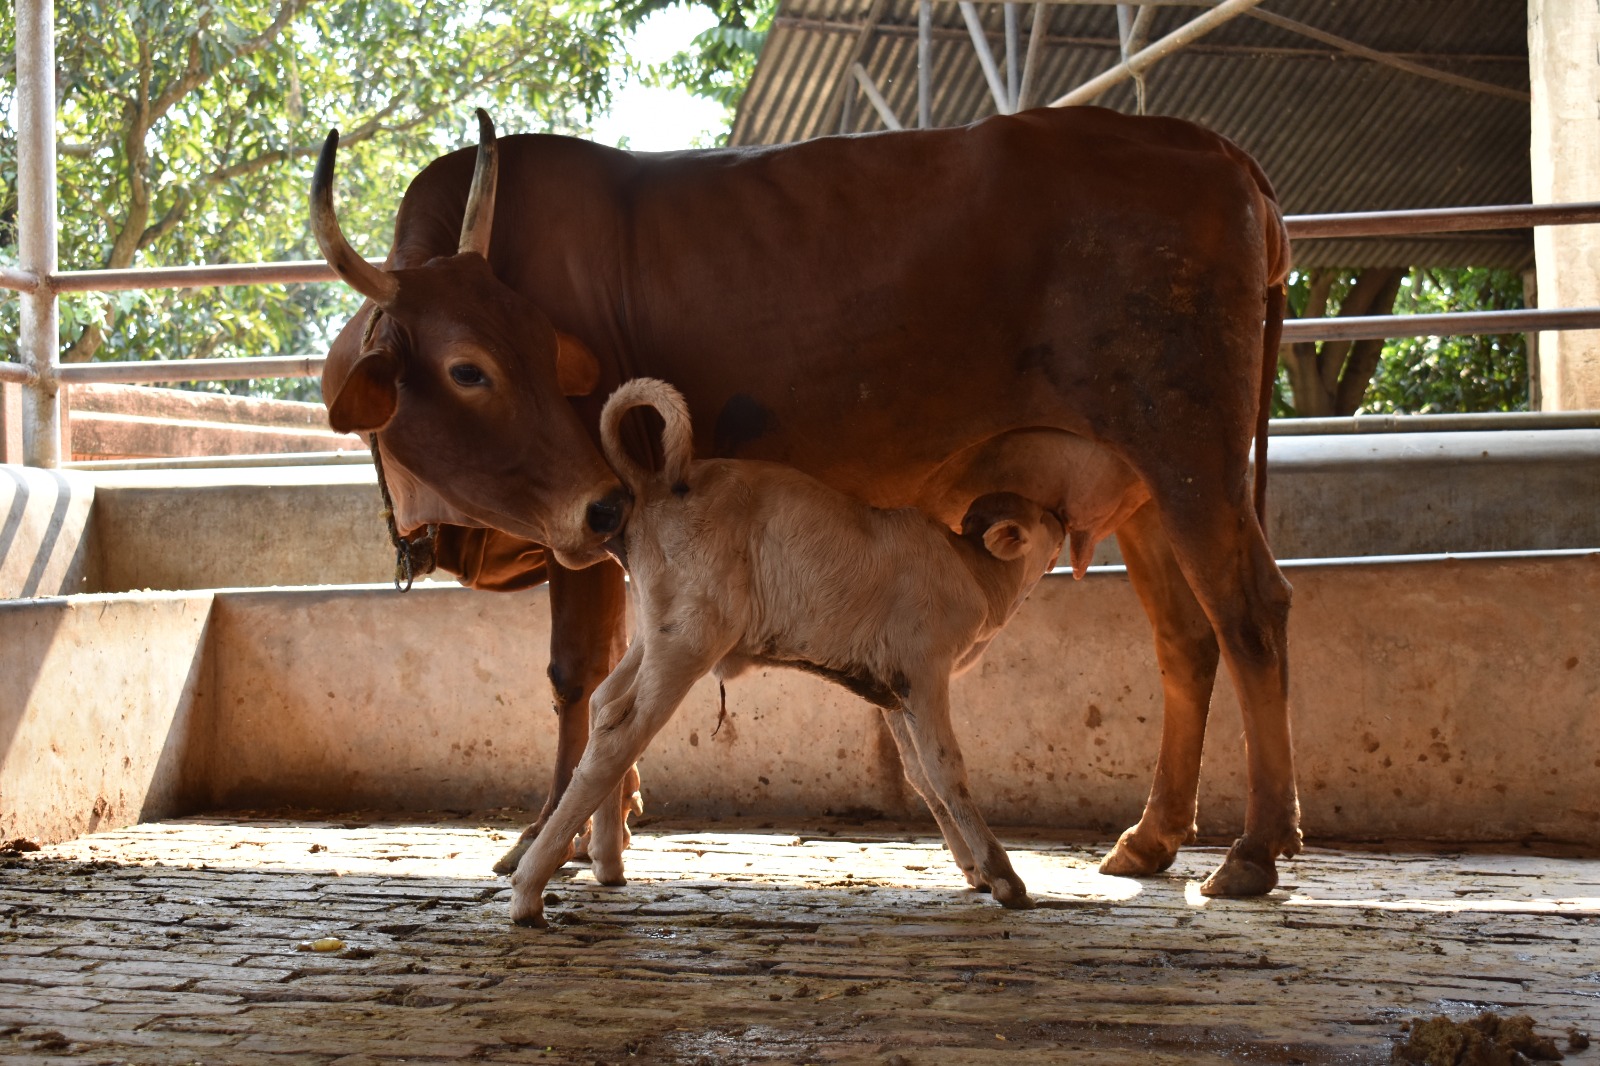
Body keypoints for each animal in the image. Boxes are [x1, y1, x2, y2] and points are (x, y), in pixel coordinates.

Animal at [315, 104, 1299, 889]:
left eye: (538, 343)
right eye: (469, 366)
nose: (607, 508)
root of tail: (1209, 145)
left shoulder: (584, 528)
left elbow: (574, 675)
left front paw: (546, 839)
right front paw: (606, 823)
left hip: (1189, 451)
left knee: (1250, 613)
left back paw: (1252, 851)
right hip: (1142, 487)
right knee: (1185, 640)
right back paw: (1153, 838)